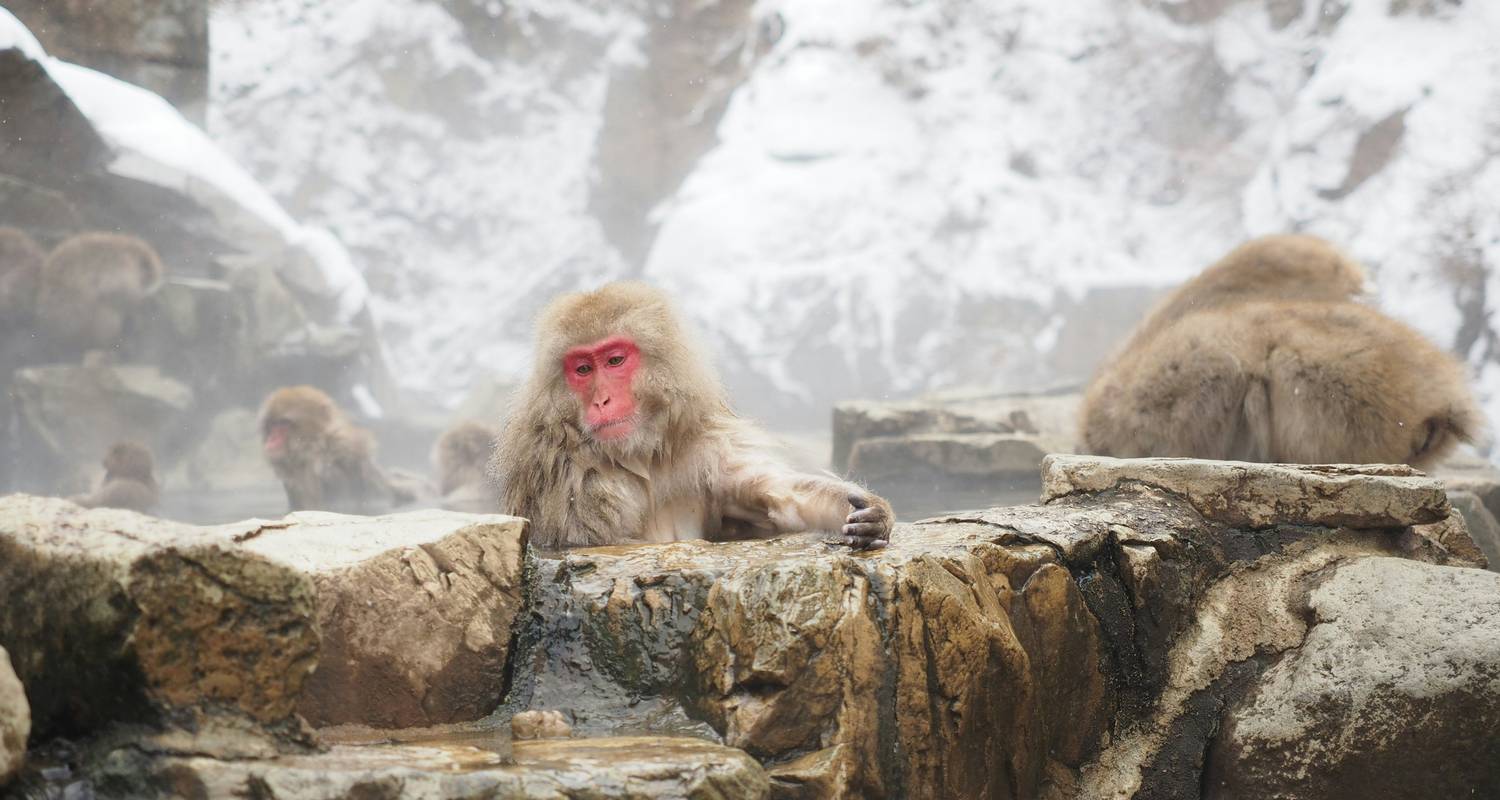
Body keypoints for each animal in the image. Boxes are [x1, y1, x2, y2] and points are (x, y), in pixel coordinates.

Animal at [492, 280, 894, 549]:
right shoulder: (567, 478)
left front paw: (871, 514)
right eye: (583, 369)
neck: (641, 457)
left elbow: (777, 497)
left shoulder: (705, 448)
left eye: (614, 360)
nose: (601, 400)